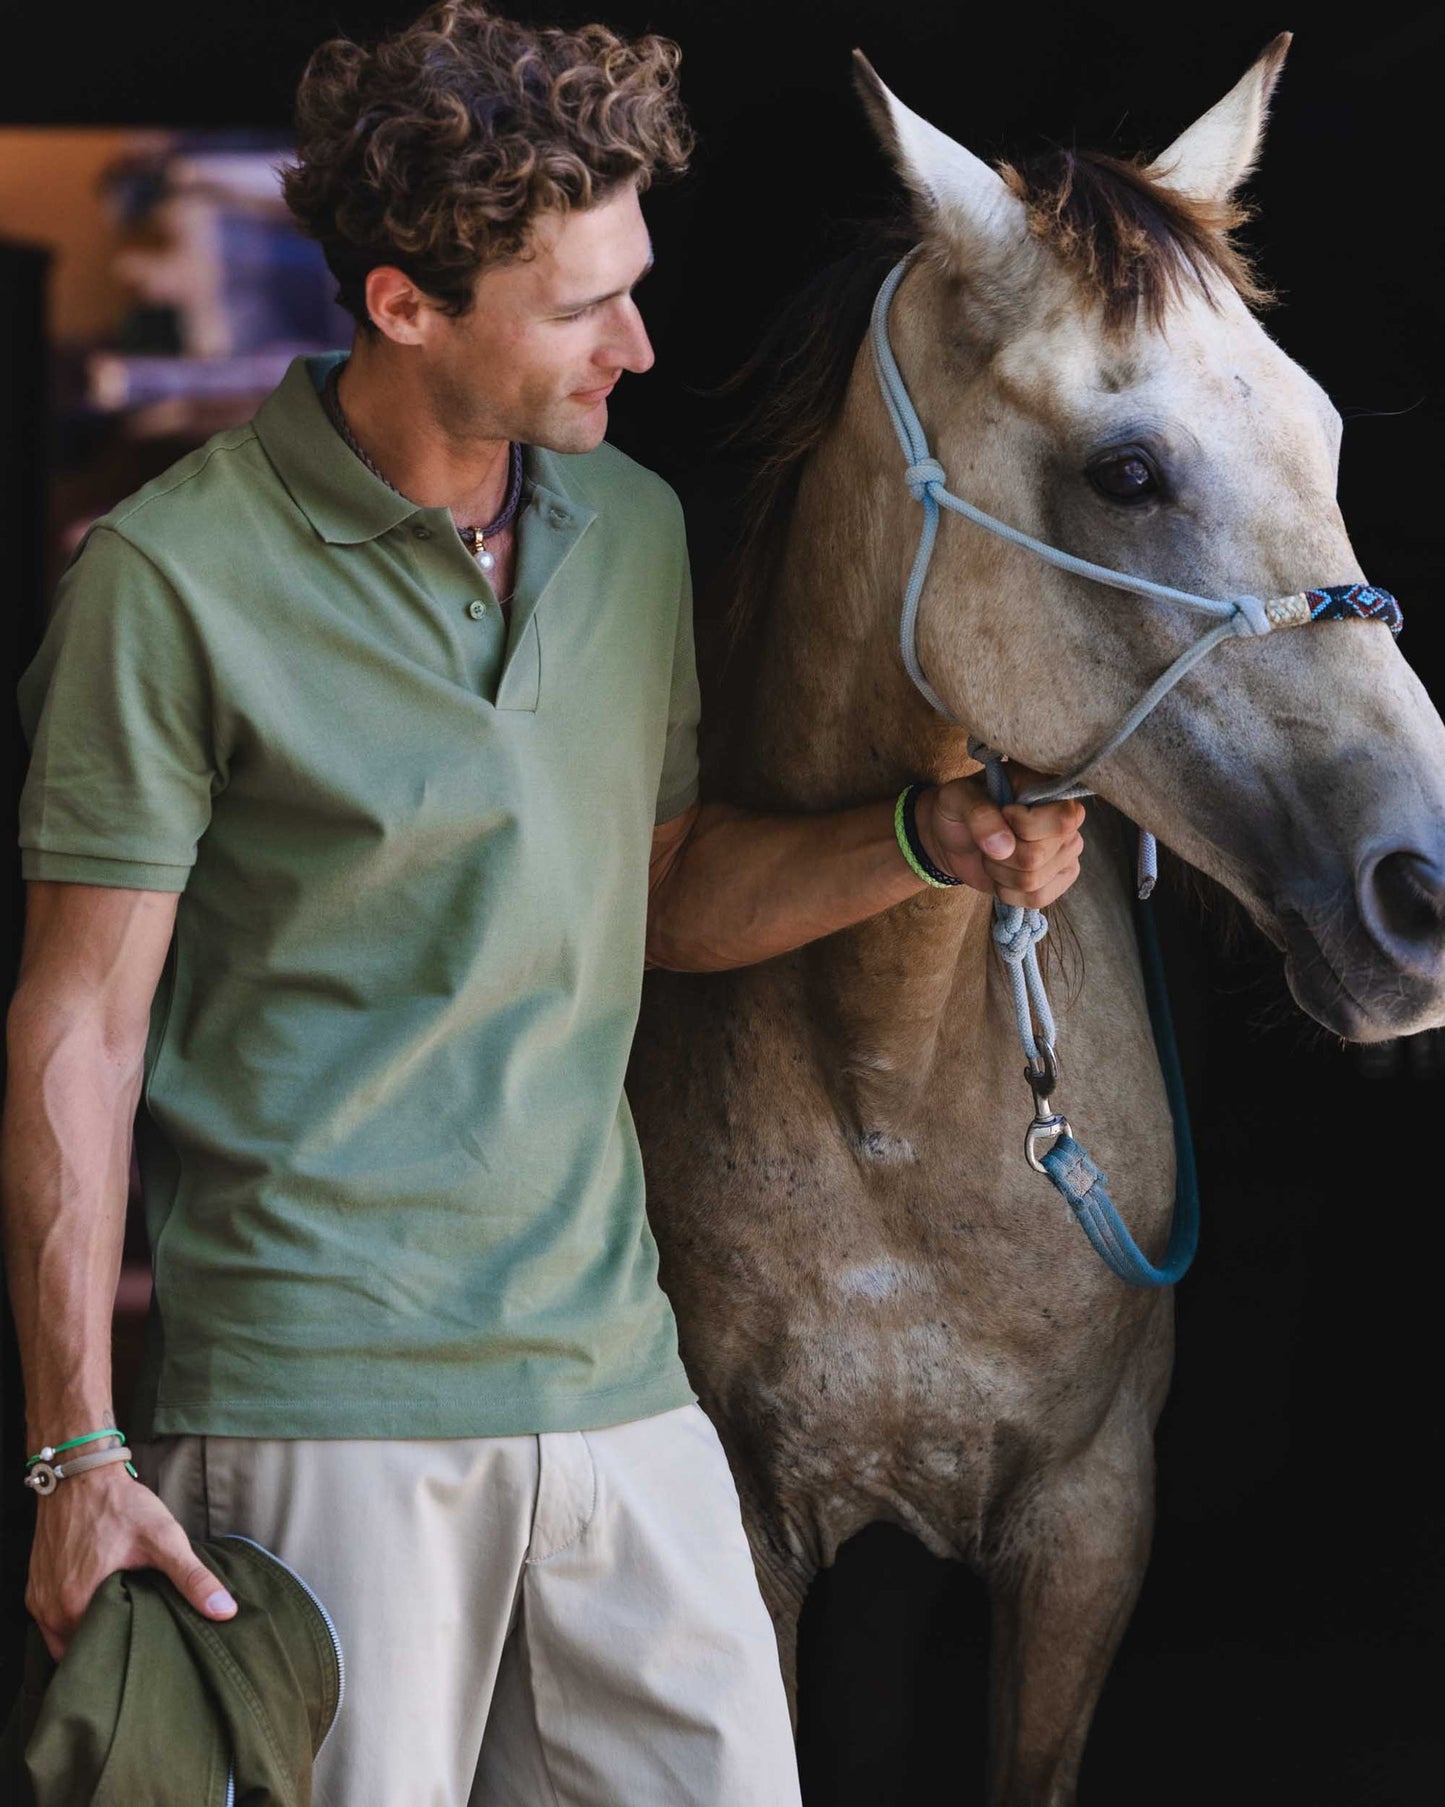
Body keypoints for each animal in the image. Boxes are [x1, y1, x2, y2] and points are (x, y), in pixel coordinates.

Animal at [628, 42, 1445, 1807]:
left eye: (1325, 431)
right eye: (1124, 471)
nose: (1423, 889)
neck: (879, 1069)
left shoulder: (1086, 1527)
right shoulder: (747, 1521)